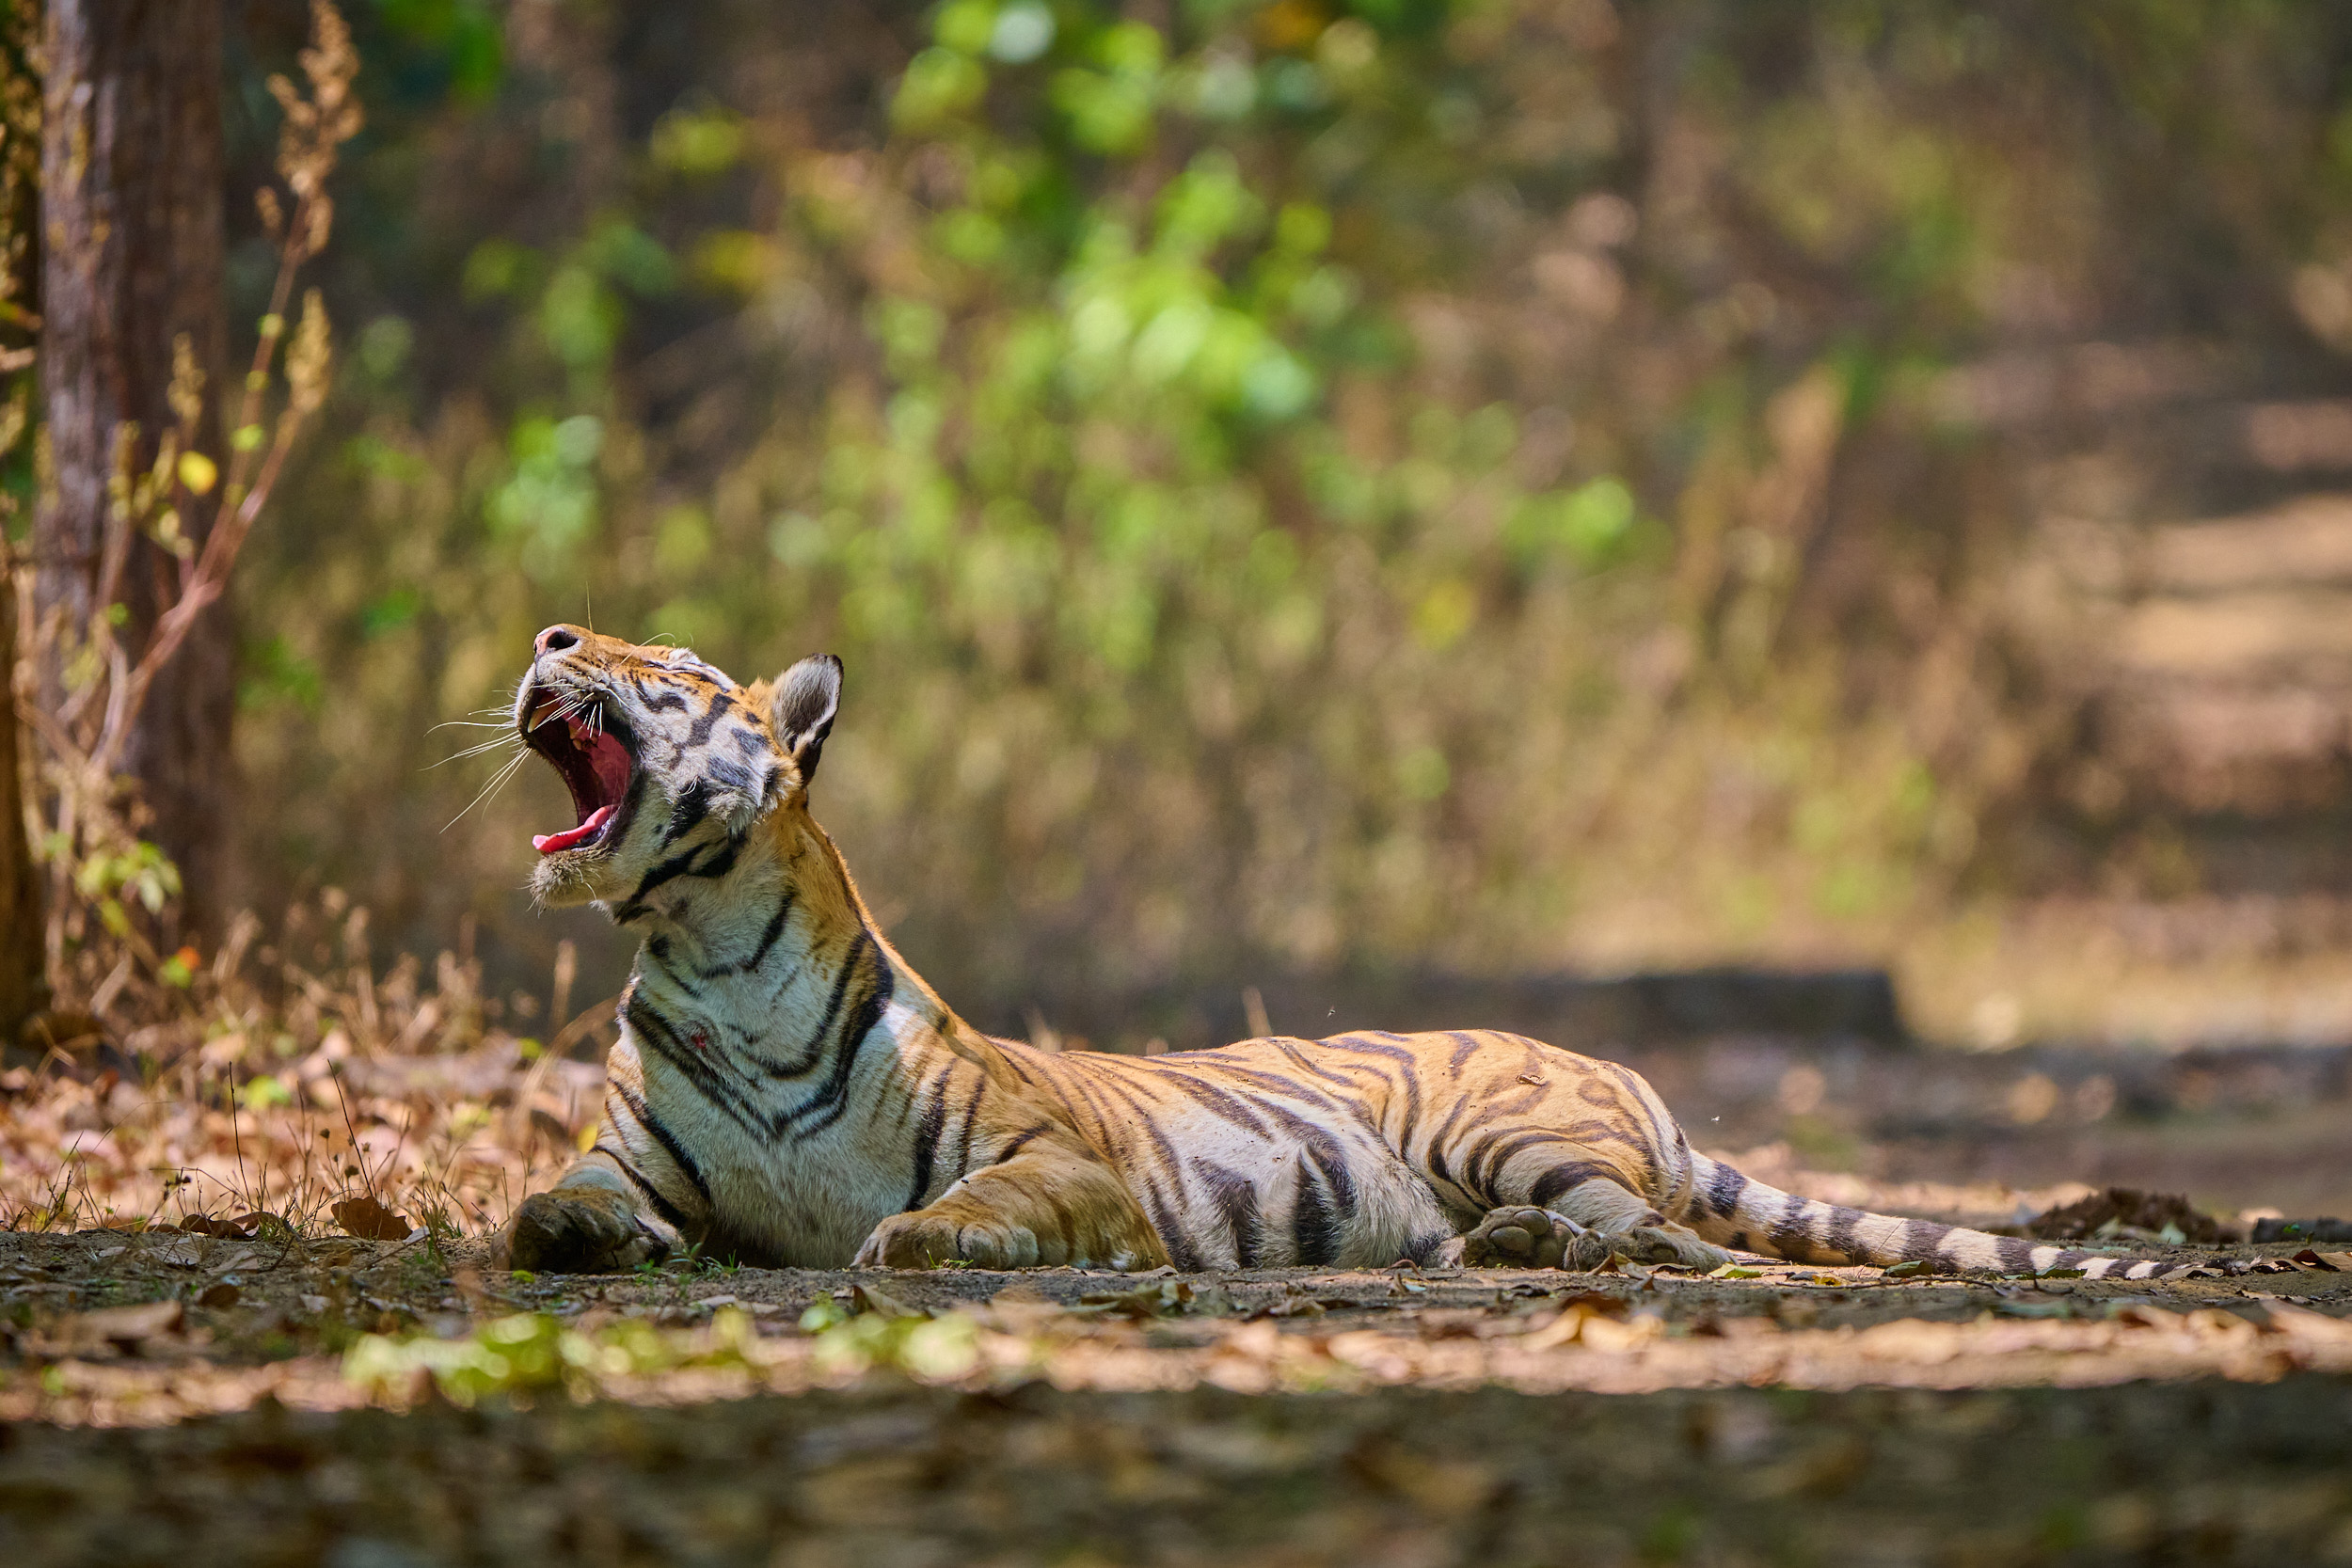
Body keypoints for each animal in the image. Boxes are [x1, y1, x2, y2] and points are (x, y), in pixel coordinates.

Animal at [497, 624, 2206, 1283]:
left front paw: (905, 1240)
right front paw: (569, 1231)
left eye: (673, 661)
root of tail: (1616, 1065)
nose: (551, 638)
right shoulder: (643, 1160)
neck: (714, 950)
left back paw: (1568, 1254)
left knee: (1700, 1247)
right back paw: (1511, 1253)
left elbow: (958, 1208)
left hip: (1513, 1125)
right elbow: (557, 1200)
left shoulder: (1064, 1161)